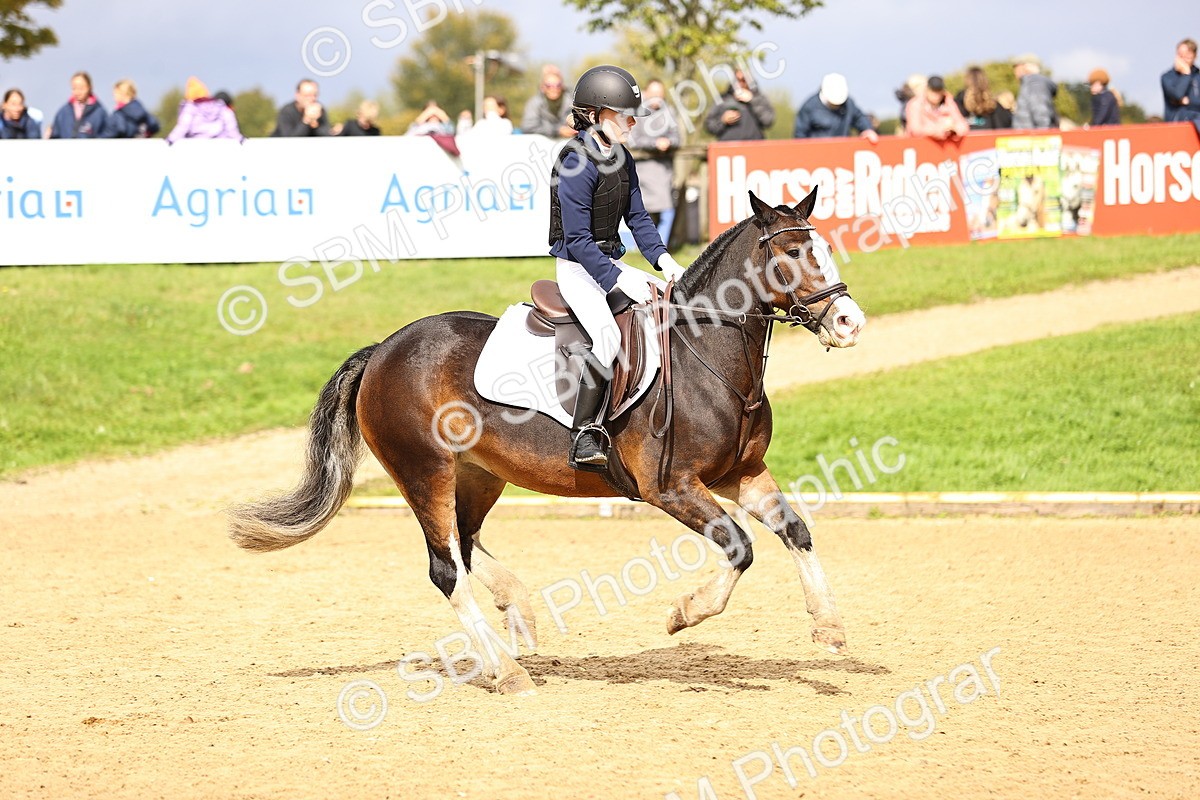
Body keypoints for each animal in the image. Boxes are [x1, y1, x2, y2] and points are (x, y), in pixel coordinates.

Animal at [228, 188, 866, 695]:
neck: (705, 354)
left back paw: (519, 612)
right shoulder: (672, 488)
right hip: (424, 471)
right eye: (791, 253)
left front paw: (830, 628)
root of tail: (383, 349)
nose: (849, 323)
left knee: (465, 545)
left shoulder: (741, 475)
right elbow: (740, 547)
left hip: (479, 474)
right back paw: (508, 671)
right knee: (445, 568)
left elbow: (796, 531)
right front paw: (683, 614)